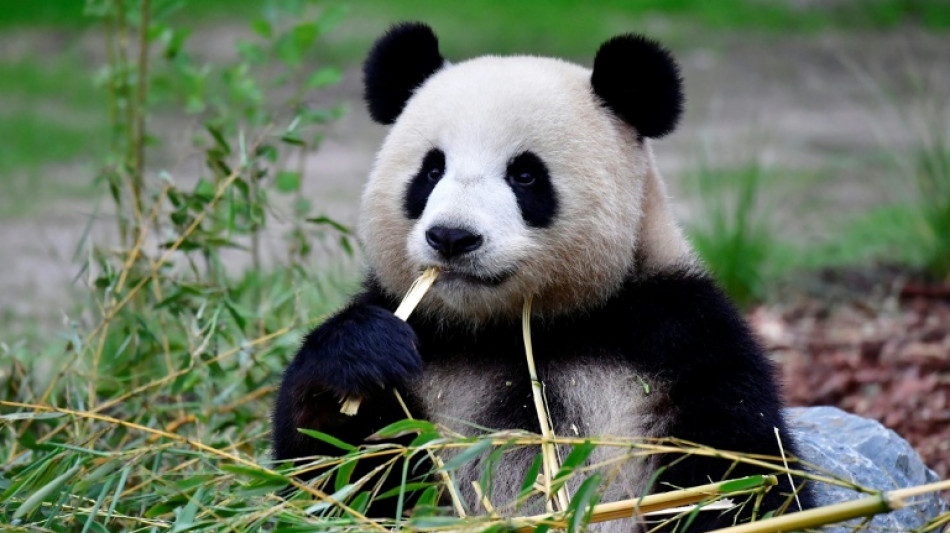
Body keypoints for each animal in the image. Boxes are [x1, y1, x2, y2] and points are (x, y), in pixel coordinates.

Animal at [273, 22, 813, 531]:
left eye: (525, 175)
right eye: (431, 171)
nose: (452, 237)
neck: (518, 327)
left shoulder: (677, 337)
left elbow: (740, 472)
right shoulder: (421, 337)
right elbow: (335, 477)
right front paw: (360, 354)